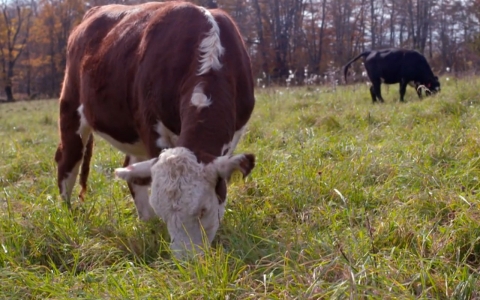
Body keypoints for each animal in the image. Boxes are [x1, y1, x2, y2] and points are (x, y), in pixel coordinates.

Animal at [54, 1, 256, 258]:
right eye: (165, 214)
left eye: (203, 210)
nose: (186, 261)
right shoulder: (151, 127)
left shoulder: (235, 133)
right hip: (71, 110)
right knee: (67, 162)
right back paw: (68, 215)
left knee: (132, 172)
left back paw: (146, 221)